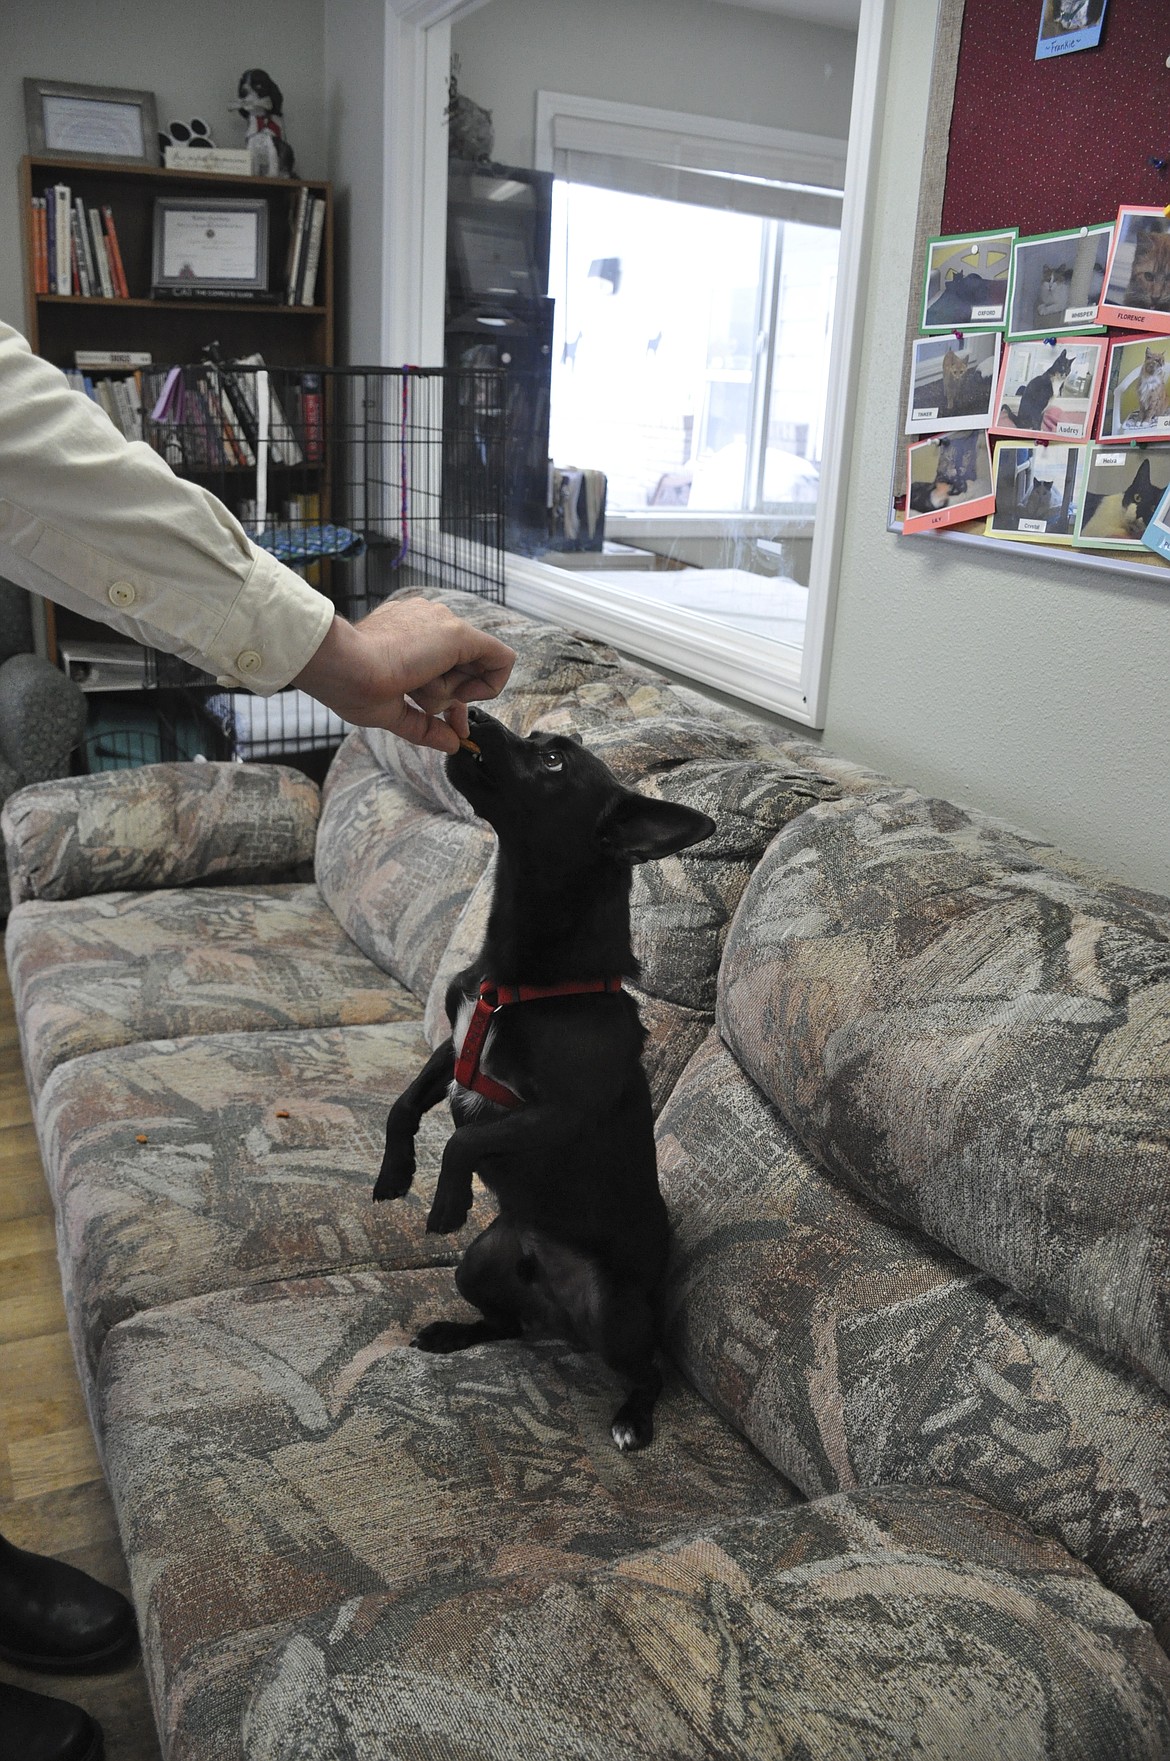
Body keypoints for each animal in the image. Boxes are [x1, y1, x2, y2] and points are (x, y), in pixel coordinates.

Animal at [370, 707, 711, 1451]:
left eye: (554, 762)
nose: (472, 713)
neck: (520, 979)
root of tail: (560, 1319)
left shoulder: (555, 1113)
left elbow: (464, 1140)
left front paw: (446, 1201)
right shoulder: (453, 1050)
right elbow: (403, 1105)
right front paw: (394, 1173)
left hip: (613, 1312)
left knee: (649, 1372)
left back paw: (632, 1420)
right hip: (480, 1263)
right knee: (506, 1324)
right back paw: (453, 1334)